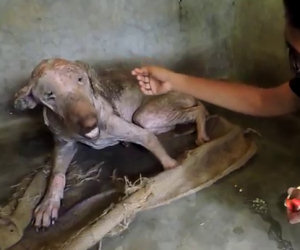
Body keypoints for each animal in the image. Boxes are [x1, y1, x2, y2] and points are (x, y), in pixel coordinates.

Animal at [14, 58, 210, 229]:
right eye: (50, 95)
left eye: (80, 79)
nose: (90, 123)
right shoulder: (64, 145)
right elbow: (56, 175)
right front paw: (48, 204)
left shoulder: (136, 130)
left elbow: (150, 140)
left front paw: (171, 167)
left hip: (145, 116)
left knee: (197, 110)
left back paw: (201, 133)